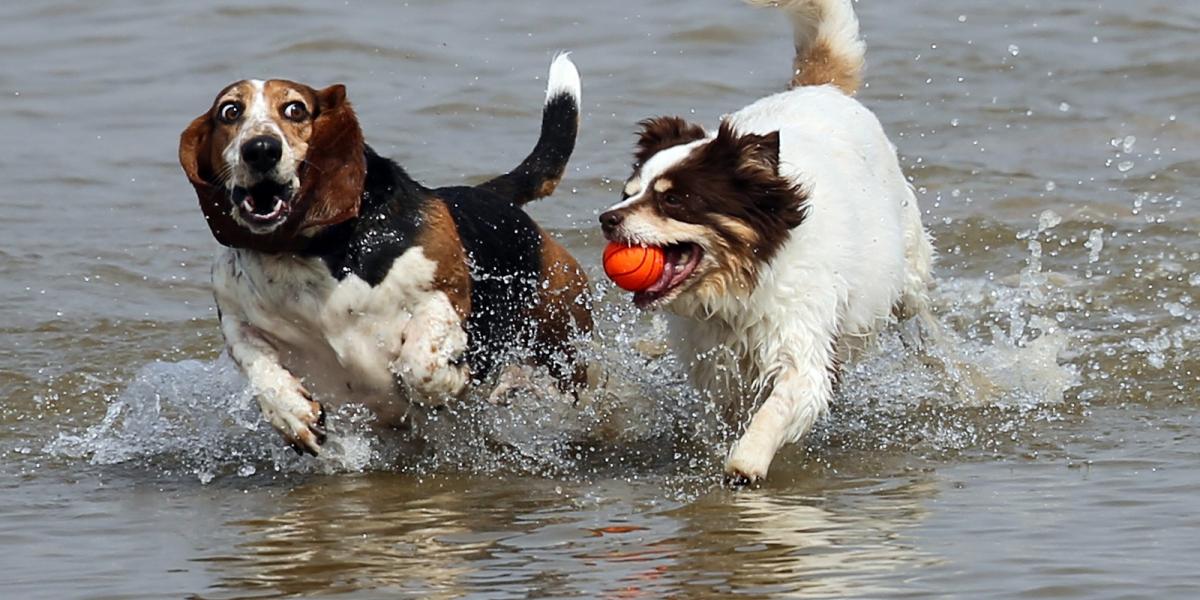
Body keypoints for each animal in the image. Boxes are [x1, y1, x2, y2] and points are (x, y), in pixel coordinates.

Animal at [177, 55, 590, 453]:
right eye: (230, 111)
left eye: (295, 109)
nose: (261, 149)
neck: (308, 253)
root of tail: (485, 193)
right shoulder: (235, 315)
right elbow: (258, 366)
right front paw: (291, 413)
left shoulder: (444, 291)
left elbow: (420, 363)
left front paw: (450, 380)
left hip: (566, 345)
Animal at [600, 1, 936, 482]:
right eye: (628, 193)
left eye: (674, 200)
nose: (606, 220)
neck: (743, 282)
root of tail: (819, 88)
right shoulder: (716, 366)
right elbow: (731, 412)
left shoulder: (802, 343)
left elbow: (777, 408)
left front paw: (745, 464)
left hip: (908, 276)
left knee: (925, 323)